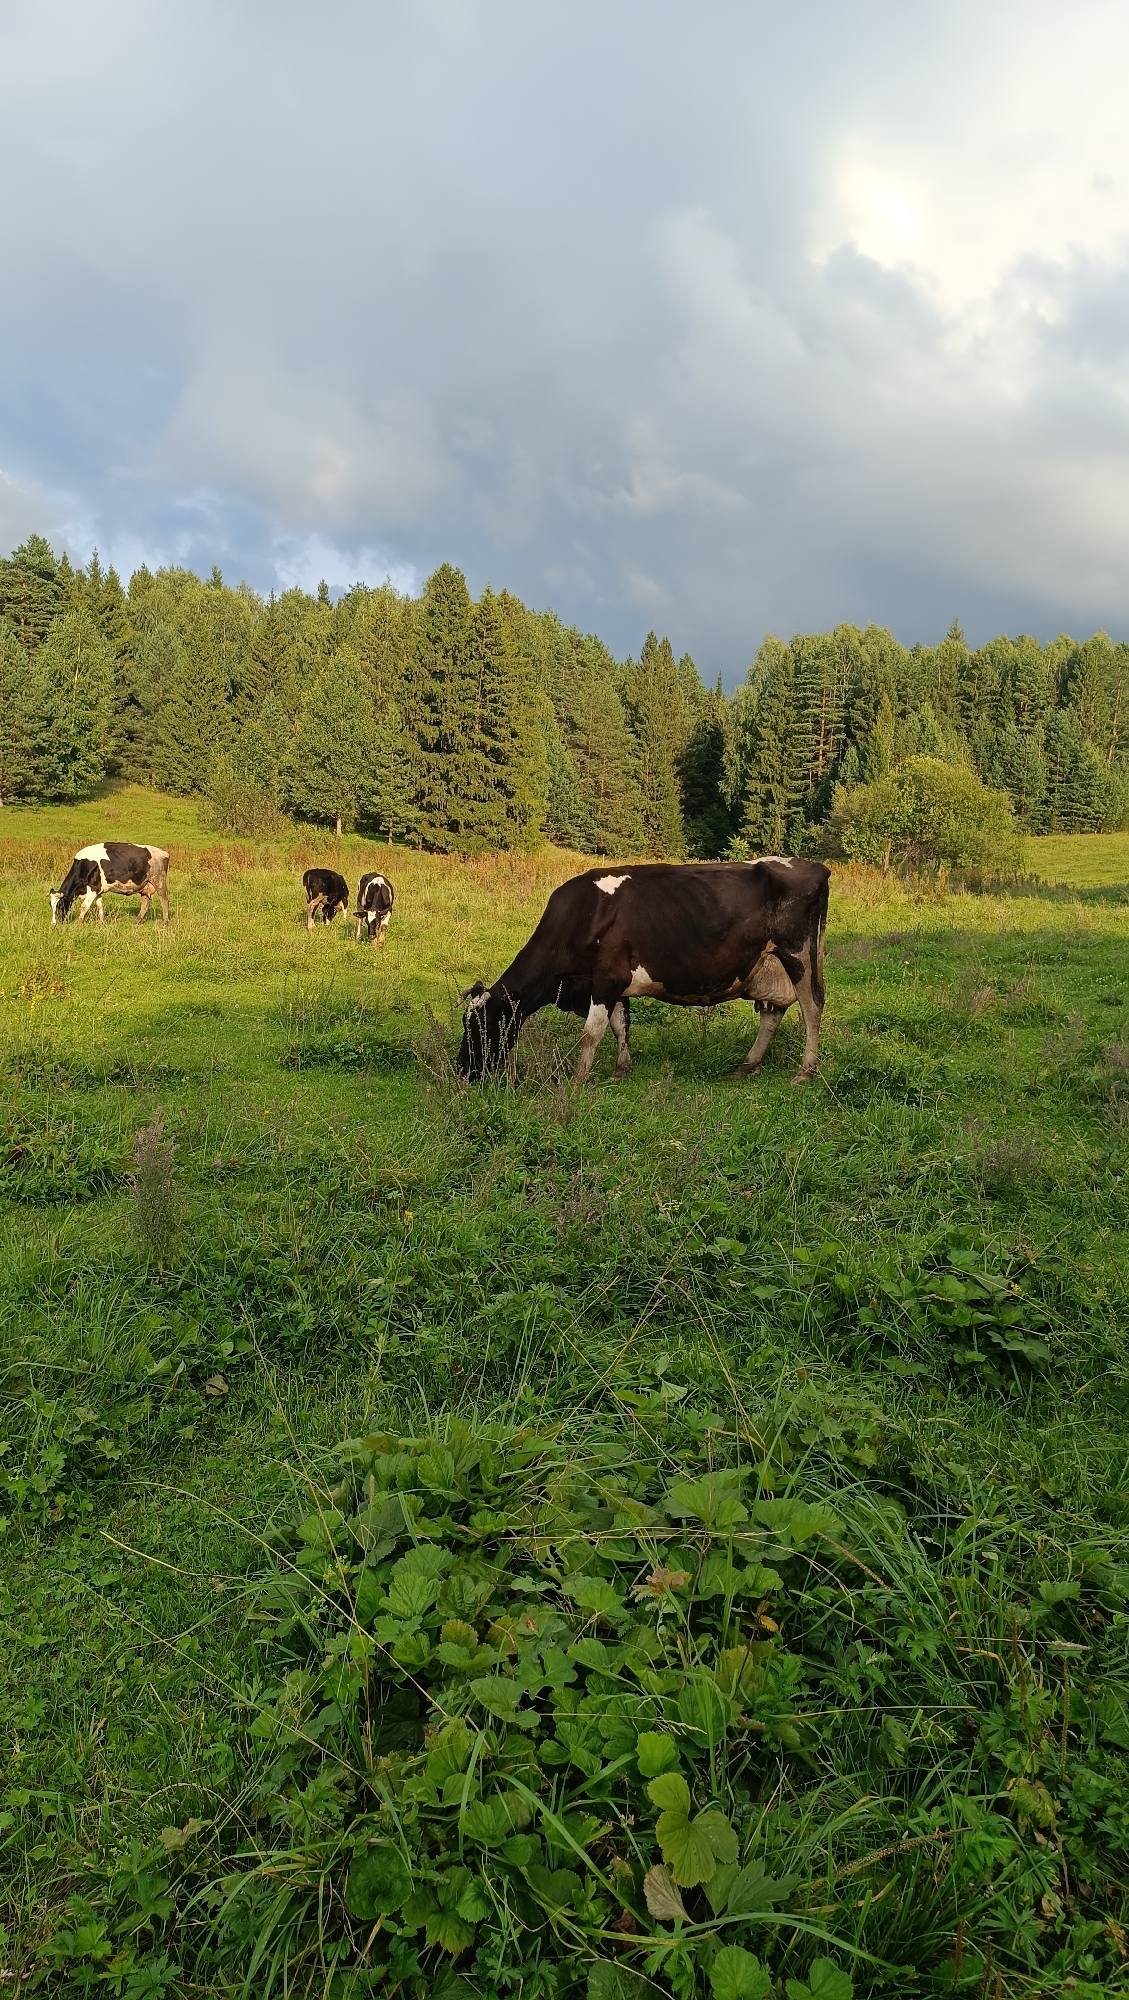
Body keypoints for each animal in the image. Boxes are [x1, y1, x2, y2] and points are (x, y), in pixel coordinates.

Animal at [456, 858, 829, 1084]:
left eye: (481, 1026)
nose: (462, 1070)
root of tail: (813, 866)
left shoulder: (607, 978)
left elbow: (592, 1031)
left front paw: (578, 1079)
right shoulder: (611, 982)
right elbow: (620, 1025)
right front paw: (621, 1070)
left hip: (798, 954)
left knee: (812, 1007)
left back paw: (805, 1071)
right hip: (769, 966)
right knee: (773, 1012)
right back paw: (747, 1065)